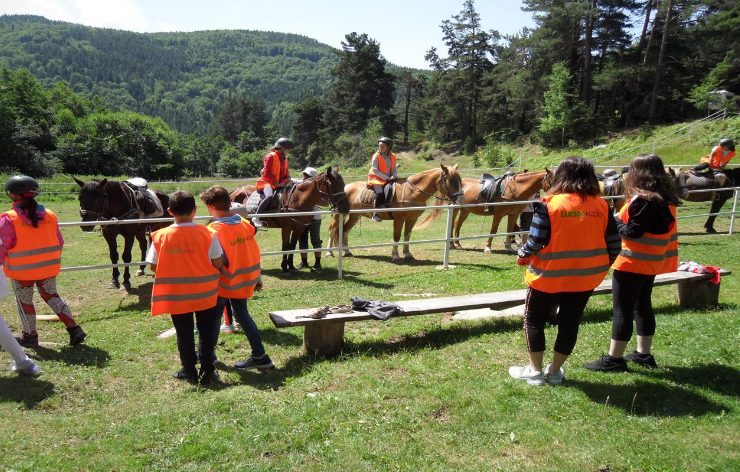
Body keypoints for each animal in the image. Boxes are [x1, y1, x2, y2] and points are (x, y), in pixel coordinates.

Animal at [328, 164, 462, 262]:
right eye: (452, 181)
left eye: (459, 180)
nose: (460, 199)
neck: (412, 191)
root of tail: (346, 188)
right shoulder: (399, 219)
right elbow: (396, 236)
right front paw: (395, 255)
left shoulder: (412, 219)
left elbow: (407, 235)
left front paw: (407, 254)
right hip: (339, 215)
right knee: (333, 229)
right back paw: (329, 252)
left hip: (355, 215)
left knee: (345, 230)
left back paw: (347, 251)